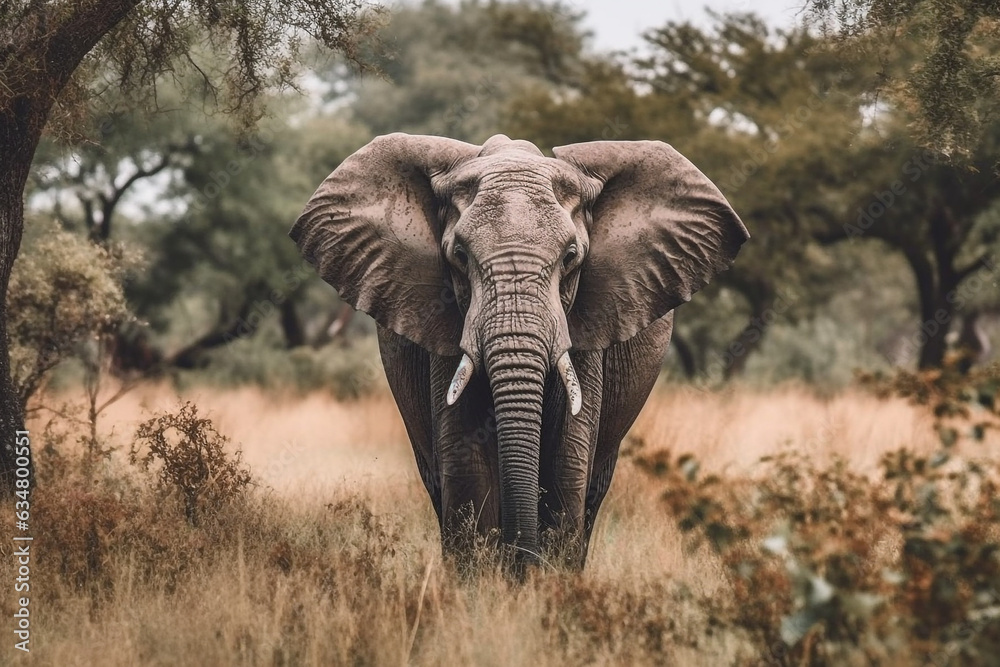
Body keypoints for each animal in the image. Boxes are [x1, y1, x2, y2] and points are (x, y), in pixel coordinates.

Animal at [290, 133, 748, 571]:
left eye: (570, 257)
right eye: (459, 256)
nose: (521, 561)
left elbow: (567, 461)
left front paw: (545, 585)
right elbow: (466, 462)